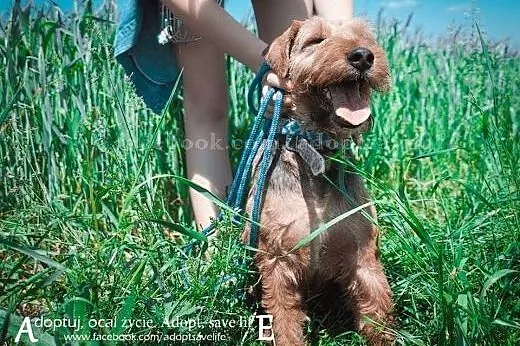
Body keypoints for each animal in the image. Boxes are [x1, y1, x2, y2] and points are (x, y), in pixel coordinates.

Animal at [244, 16, 394, 346]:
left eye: (365, 37)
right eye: (315, 41)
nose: (363, 56)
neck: (317, 151)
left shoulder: (363, 254)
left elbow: (377, 310)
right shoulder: (276, 261)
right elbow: (285, 322)